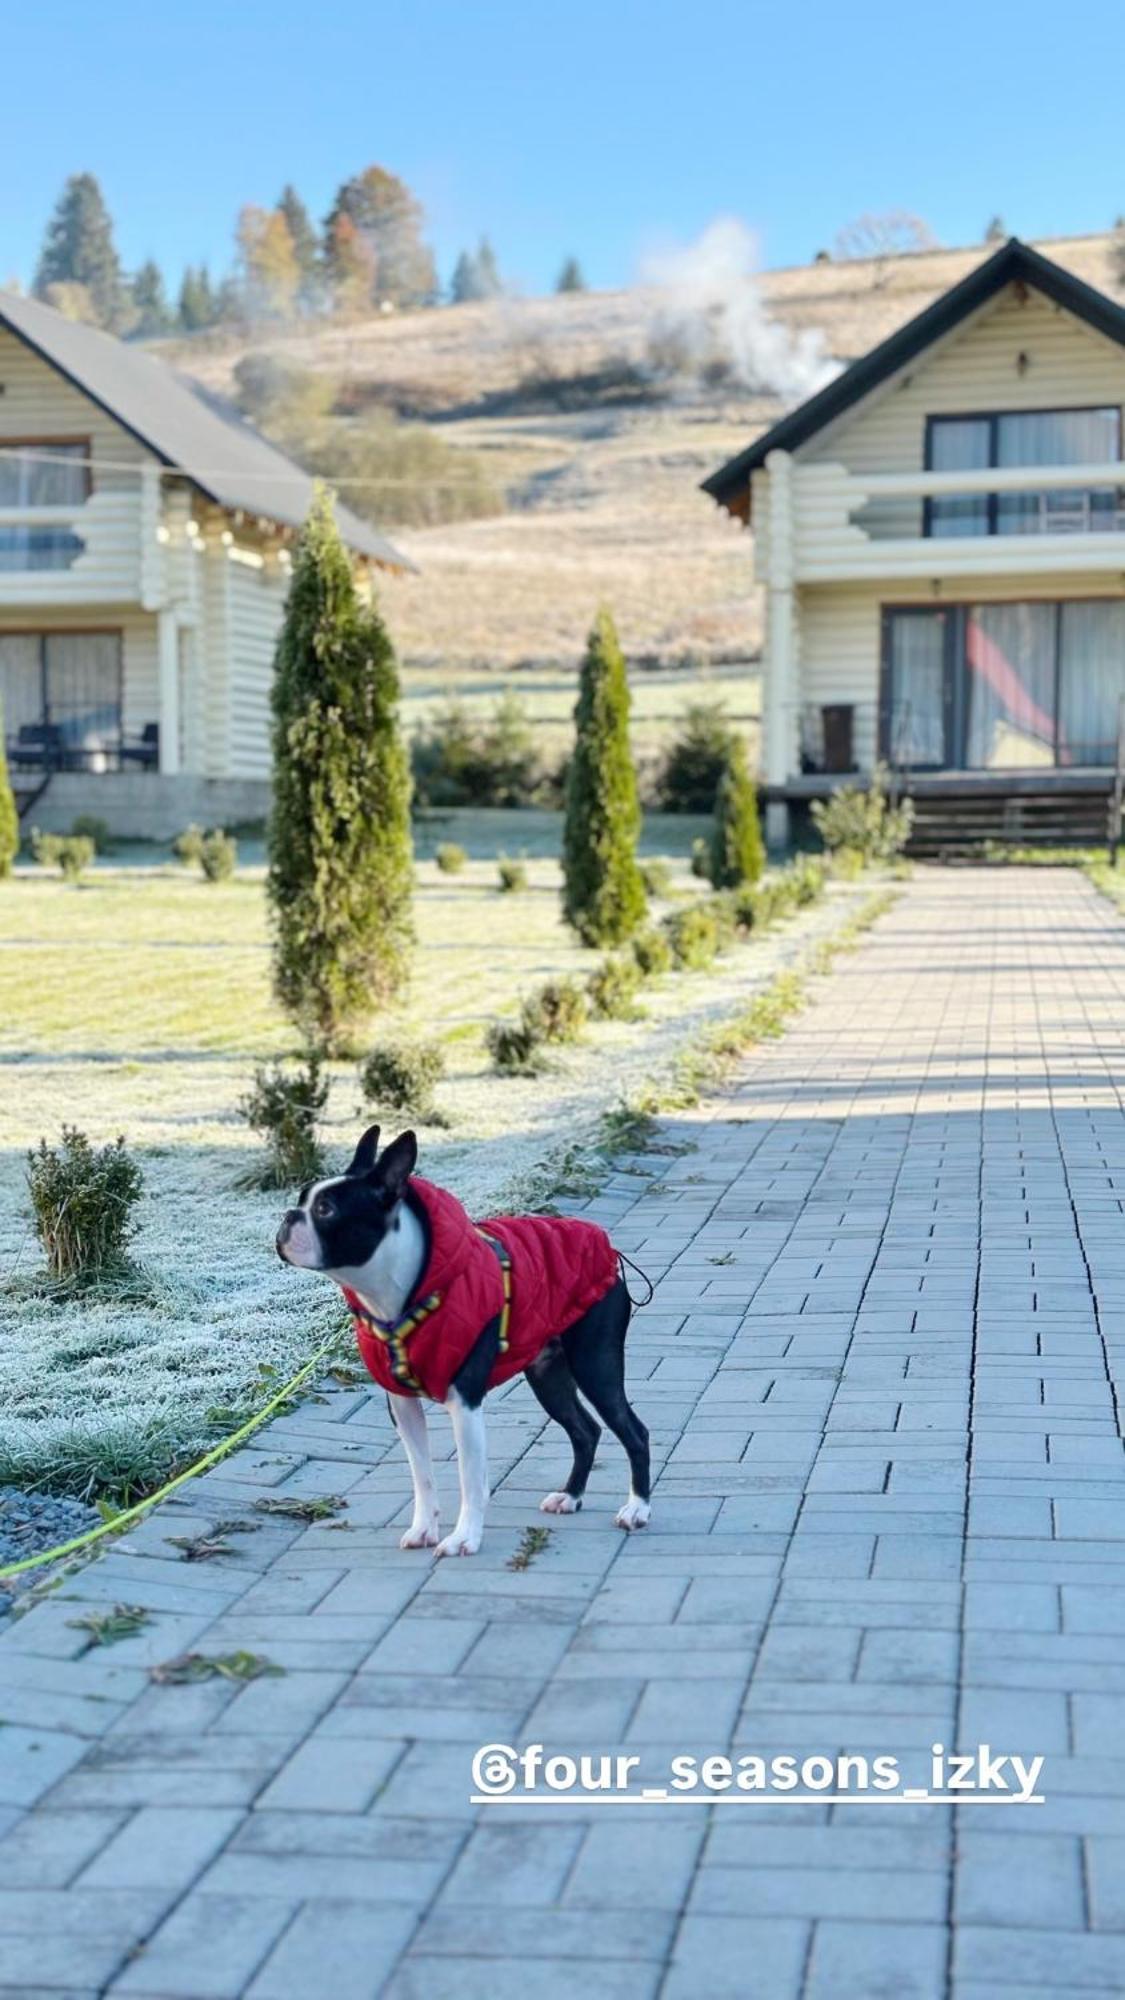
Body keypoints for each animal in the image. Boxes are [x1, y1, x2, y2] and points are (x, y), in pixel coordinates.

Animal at [272, 1136, 652, 1552]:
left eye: (325, 1210)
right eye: (302, 1198)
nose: (288, 1216)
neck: (400, 1299)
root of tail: (608, 1249)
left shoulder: (464, 1400)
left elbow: (470, 1477)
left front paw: (464, 1538)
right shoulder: (402, 1404)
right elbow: (421, 1474)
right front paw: (424, 1528)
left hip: (594, 1364)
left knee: (633, 1431)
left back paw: (637, 1509)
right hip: (547, 1374)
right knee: (586, 1430)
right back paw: (570, 1496)